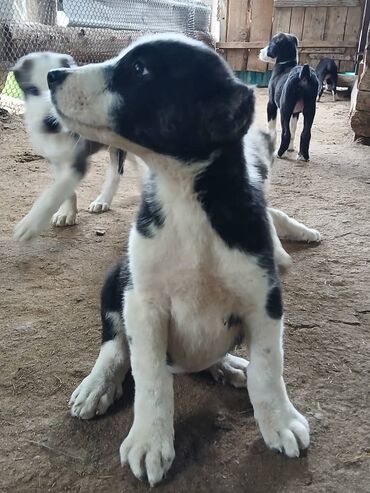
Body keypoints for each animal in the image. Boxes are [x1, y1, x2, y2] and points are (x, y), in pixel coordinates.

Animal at [12, 51, 125, 240]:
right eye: (32, 90)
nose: (50, 122)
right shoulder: (55, 159)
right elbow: (65, 188)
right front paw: (66, 213)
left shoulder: (78, 160)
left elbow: (57, 190)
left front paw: (31, 223)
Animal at [258, 33, 320, 163]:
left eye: (270, 43)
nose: (260, 51)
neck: (286, 63)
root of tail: (304, 74)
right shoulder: (295, 112)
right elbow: (293, 128)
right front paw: (290, 149)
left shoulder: (271, 104)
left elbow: (272, 127)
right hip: (310, 109)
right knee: (305, 133)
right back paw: (303, 156)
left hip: (285, 109)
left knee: (286, 133)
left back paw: (279, 153)